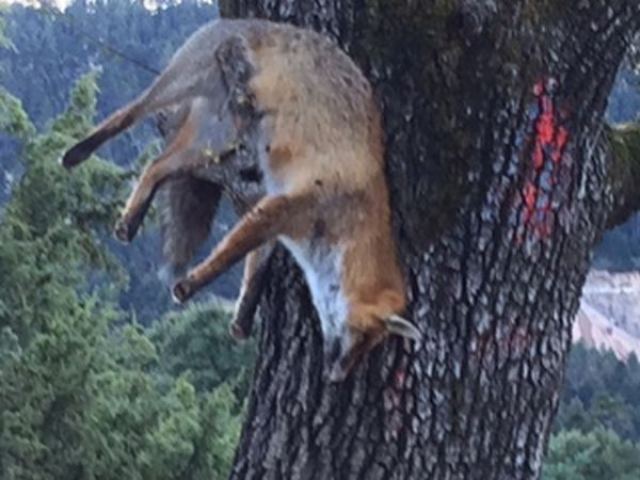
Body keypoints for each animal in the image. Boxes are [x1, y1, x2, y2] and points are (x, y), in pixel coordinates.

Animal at [61, 16, 420, 380]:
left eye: (369, 347)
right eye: (359, 338)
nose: (335, 377)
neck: (349, 214)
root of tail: (240, 21)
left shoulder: (275, 213)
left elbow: (255, 271)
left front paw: (242, 319)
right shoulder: (282, 206)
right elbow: (230, 254)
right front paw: (191, 284)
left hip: (213, 141)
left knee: (156, 166)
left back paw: (130, 220)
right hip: (183, 85)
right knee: (130, 112)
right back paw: (78, 152)